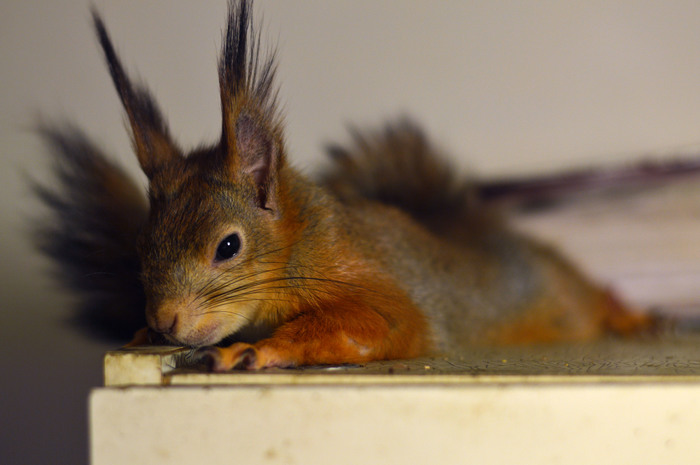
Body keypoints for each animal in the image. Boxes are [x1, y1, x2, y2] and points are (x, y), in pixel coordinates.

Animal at [32, 0, 656, 370]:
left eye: (228, 246)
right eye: (141, 245)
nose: (165, 320)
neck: (298, 244)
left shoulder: (370, 279)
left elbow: (378, 321)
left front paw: (262, 347)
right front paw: (140, 332)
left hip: (561, 286)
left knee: (593, 293)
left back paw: (632, 315)